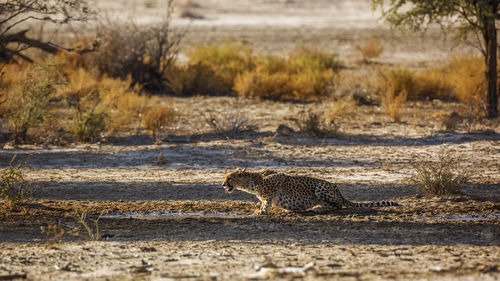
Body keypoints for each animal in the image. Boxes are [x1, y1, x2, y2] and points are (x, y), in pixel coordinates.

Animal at [223, 168, 398, 214]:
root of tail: (340, 192)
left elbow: (266, 202)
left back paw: (318, 208)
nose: (222, 184)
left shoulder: (279, 179)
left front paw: (261, 211)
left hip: (321, 187)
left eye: (229, 178)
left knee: (338, 206)